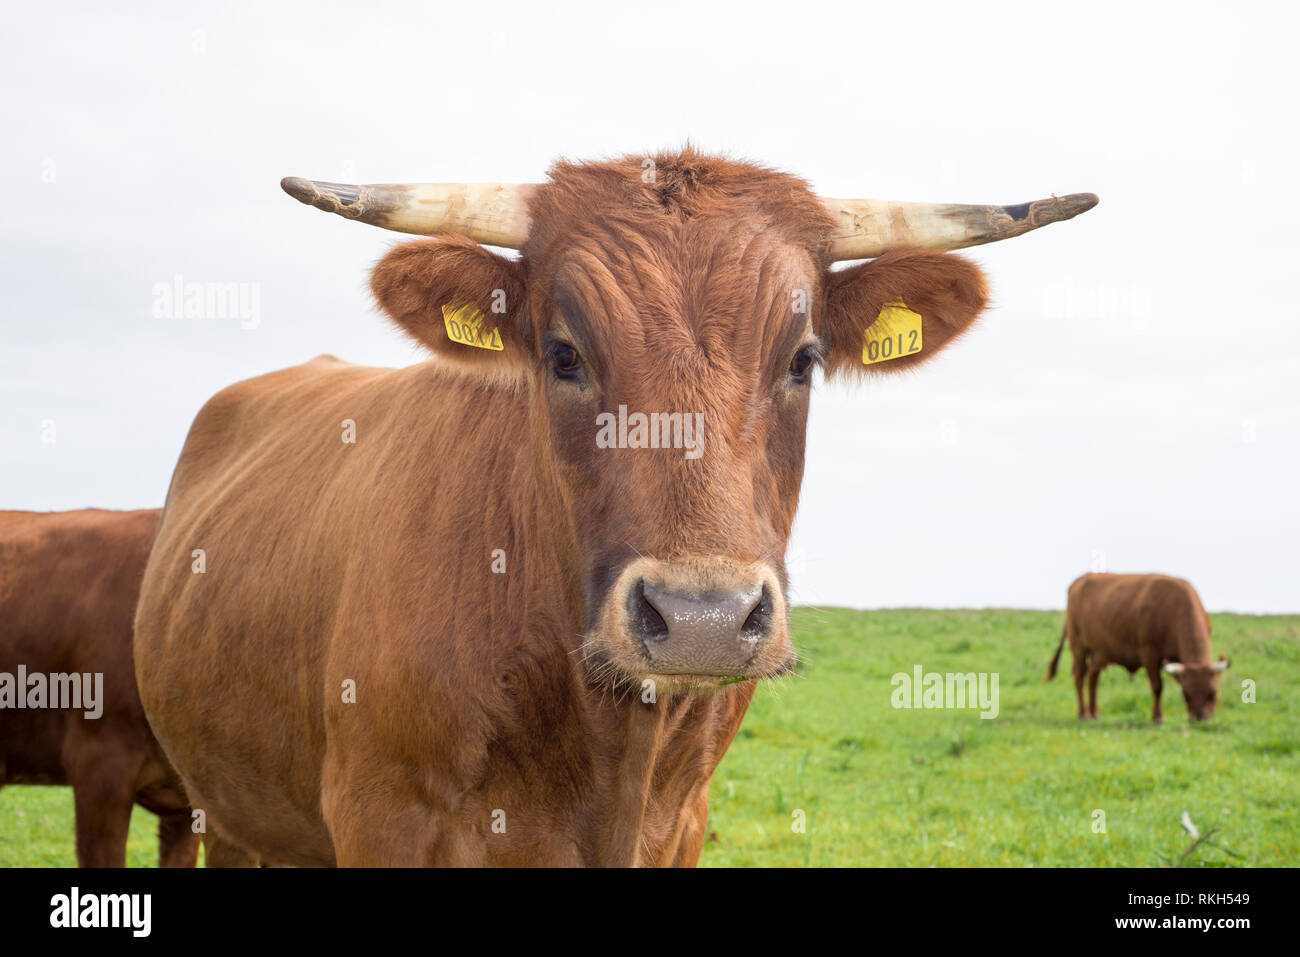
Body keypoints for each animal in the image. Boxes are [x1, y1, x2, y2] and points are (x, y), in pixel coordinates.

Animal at [135, 148, 1096, 866]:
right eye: (564, 355)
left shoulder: (683, 824)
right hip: (228, 806)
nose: (703, 618)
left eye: (804, 358)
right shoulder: (383, 815)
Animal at [1046, 572, 1230, 724]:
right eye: (1186, 695)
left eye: (1213, 693)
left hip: (1099, 654)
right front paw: (1158, 718)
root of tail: (1079, 581)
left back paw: (1094, 712)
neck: (1175, 608)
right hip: (1078, 647)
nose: (1200, 720)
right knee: (1080, 677)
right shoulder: (1150, 655)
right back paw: (1083, 713)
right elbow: (1157, 687)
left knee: (1093, 677)